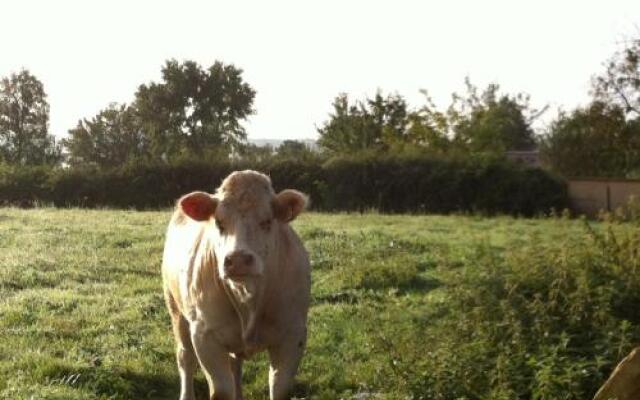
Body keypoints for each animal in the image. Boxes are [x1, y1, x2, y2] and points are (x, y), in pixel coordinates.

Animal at [160, 170, 310, 400]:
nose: (238, 259)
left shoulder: (293, 334)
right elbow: (221, 389)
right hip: (176, 309)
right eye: (219, 222)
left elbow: (280, 387)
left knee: (234, 365)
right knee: (185, 359)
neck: (248, 297)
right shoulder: (205, 335)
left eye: (267, 221)